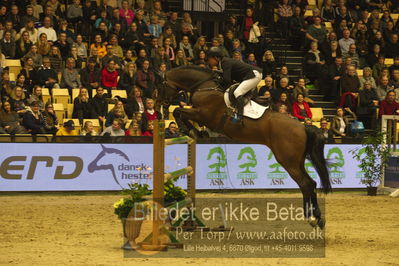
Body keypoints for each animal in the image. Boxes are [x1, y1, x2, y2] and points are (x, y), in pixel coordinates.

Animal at [158, 65, 332, 228]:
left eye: (161, 86)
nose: (162, 108)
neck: (204, 86)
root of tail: (303, 127)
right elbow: (180, 112)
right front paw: (196, 131)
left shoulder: (203, 114)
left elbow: (179, 111)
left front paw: (191, 130)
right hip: (297, 160)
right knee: (311, 183)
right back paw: (317, 218)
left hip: (288, 160)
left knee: (306, 184)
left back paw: (312, 218)